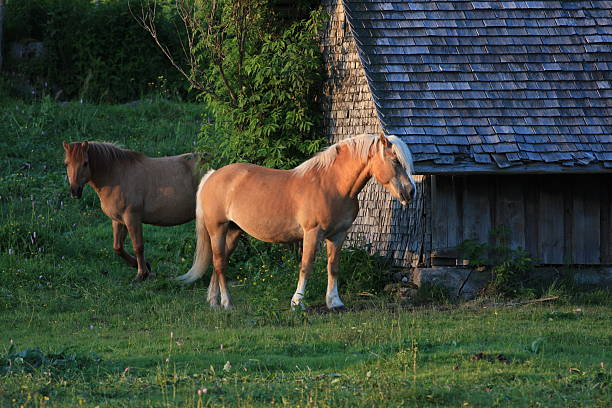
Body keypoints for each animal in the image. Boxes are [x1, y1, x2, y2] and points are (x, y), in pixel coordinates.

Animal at [64, 143, 203, 280]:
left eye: (85, 163)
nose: (75, 191)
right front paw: (139, 265)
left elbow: (138, 246)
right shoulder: (119, 220)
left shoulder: (132, 218)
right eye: (66, 163)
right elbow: (118, 247)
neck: (117, 175)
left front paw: (141, 273)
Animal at [176, 134, 416, 310]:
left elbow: (333, 267)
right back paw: (227, 303)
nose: (411, 192)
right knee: (219, 263)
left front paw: (334, 302)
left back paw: (214, 302)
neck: (331, 185)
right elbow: (306, 267)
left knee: (220, 262)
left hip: (233, 232)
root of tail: (212, 175)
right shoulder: (312, 233)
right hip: (217, 229)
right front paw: (297, 302)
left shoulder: (338, 235)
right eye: (395, 160)